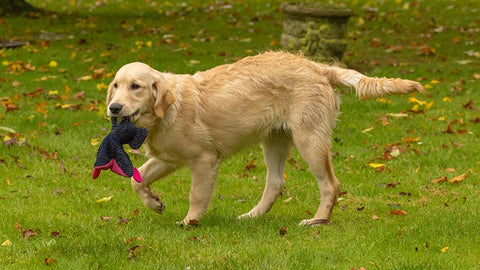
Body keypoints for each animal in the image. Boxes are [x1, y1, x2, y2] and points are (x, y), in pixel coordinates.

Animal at [106, 51, 424, 226]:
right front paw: (154, 202)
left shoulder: (204, 161)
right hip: (274, 140)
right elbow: (137, 179)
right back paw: (253, 216)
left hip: (309, 140)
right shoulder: (168, 158)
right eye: (116, 85)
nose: (114, 108)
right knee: (276, 182)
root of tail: (318, 67)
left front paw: (189, 222)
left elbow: (196, 195)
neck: (167, 110)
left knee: (330, 185)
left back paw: (317, 220)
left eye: (136, 86)